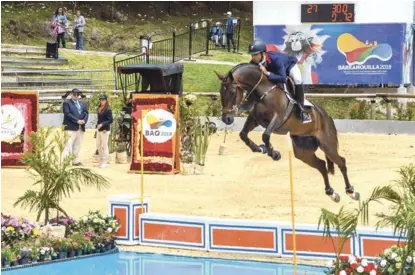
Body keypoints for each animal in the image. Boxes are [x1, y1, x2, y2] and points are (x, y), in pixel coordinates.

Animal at [216, 63, 360, 204]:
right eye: (221, 92)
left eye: (232, 92)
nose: (226, 119)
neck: (263, 90)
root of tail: (327, 116)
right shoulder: (255, 119)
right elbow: (243, 135)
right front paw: (260, 149)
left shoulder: (277, 118)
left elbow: (265, 135)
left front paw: (273, 153)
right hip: (303, 151)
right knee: (322, 165)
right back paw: (332, 194)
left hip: (327, 145)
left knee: (341, 162)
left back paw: (351, 192)